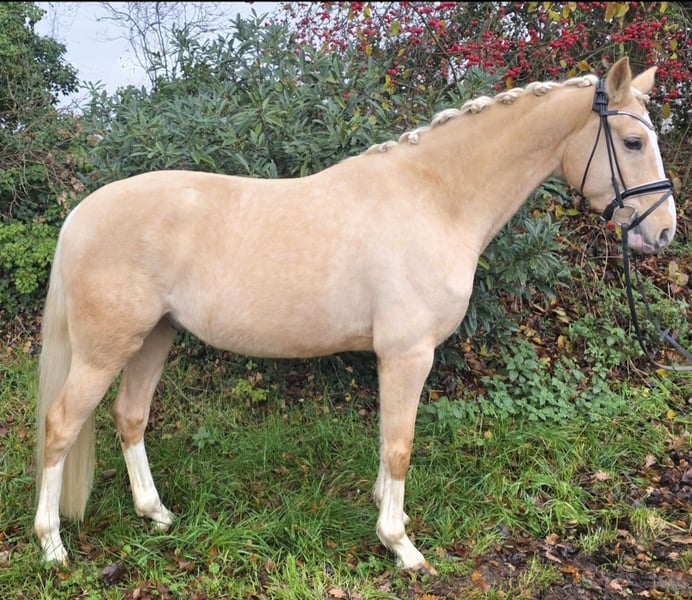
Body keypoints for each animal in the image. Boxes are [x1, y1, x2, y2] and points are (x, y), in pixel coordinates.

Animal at [34, 57, 677, 574]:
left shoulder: (398, 357)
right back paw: (52, 547)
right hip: (106, 348)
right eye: (632, 142)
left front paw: (389, 515)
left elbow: (389, 440)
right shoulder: (408, 354)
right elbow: (400, 445)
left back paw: (156, 514)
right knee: (61, 426)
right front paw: (402, 546)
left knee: (130, 416)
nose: (665, 232)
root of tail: (80, 215)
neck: (434, 198)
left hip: (154, 336)